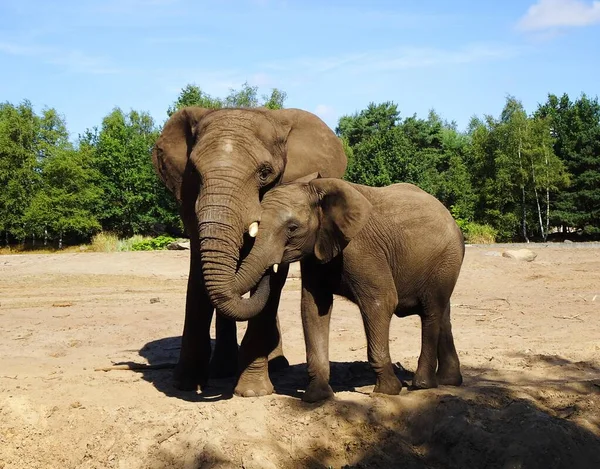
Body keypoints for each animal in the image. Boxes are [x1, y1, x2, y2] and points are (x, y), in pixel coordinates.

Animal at [151, 108, 346, 396]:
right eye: (194, 171)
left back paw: (275, 365)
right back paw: (222, 370)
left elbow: (273, 282)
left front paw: (253, 392)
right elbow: (198, 274)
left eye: (265, 173)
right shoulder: (188, 197)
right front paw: (185, 385)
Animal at [238, 174, 464, 400]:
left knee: (431, 311)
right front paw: (317, 397)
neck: (317, 190)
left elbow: (382, 301)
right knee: (443, 313)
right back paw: (449, 381)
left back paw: (422, 385)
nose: (273, 268)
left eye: (292, 228)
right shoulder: (317, 253)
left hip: (445, 260)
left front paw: (388, 391)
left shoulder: (361, 247)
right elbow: (313, 308)